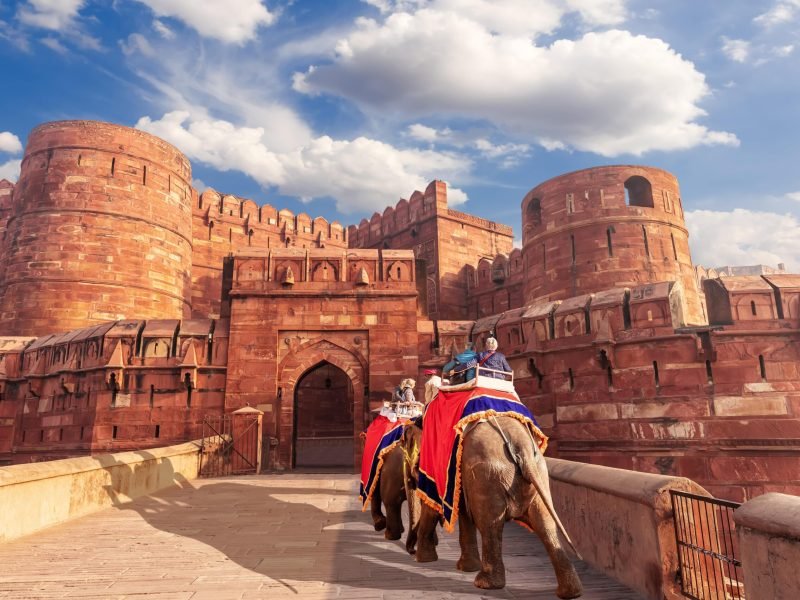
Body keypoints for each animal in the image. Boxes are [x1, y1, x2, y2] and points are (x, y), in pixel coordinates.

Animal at [407, 417, 583, 598]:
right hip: (536, 473)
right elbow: (463, 514)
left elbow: (433, 506)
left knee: (489, 525)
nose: (411, 551)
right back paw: (570, 593)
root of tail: (521, 444)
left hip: (487, 474)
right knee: (545, 524)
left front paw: (423, 560)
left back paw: (485, 584)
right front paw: (466, 567)